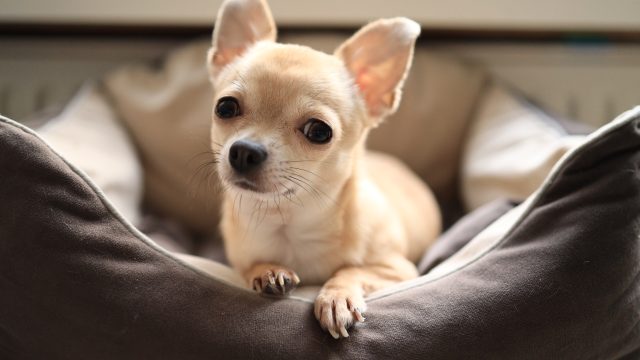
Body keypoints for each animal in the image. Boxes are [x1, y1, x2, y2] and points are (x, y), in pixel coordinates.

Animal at [208, 0, 442, 338]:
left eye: (319, 131)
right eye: (225, 107)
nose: (244, 151)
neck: (290, 222)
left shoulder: (399, 269)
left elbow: (351, 269)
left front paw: (337, 297)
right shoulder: (239, 261)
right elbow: (252, 266)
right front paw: (268, 271)